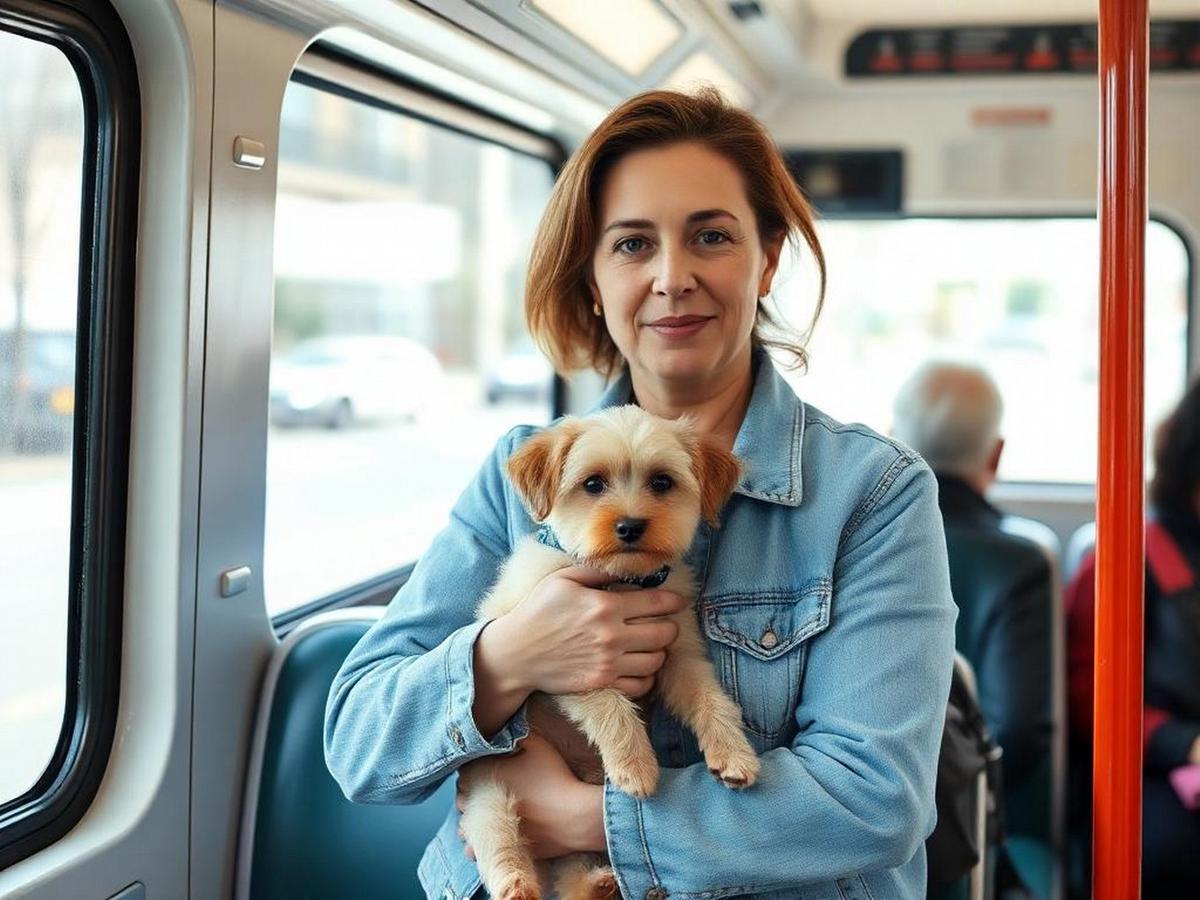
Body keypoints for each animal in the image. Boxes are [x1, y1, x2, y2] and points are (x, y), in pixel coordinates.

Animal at [458, 408, 758, 900]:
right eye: (593, 484)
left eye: (662, 482)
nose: (630, 526)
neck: (621, 581)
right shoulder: (571, 662)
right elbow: (610, 706)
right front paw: (635, 764)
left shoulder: (681, 656)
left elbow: (711, 700)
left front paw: (733, 752)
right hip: (490, 788)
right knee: (500, 837)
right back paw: (518, 884)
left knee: (573, 875)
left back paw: (599, 883)